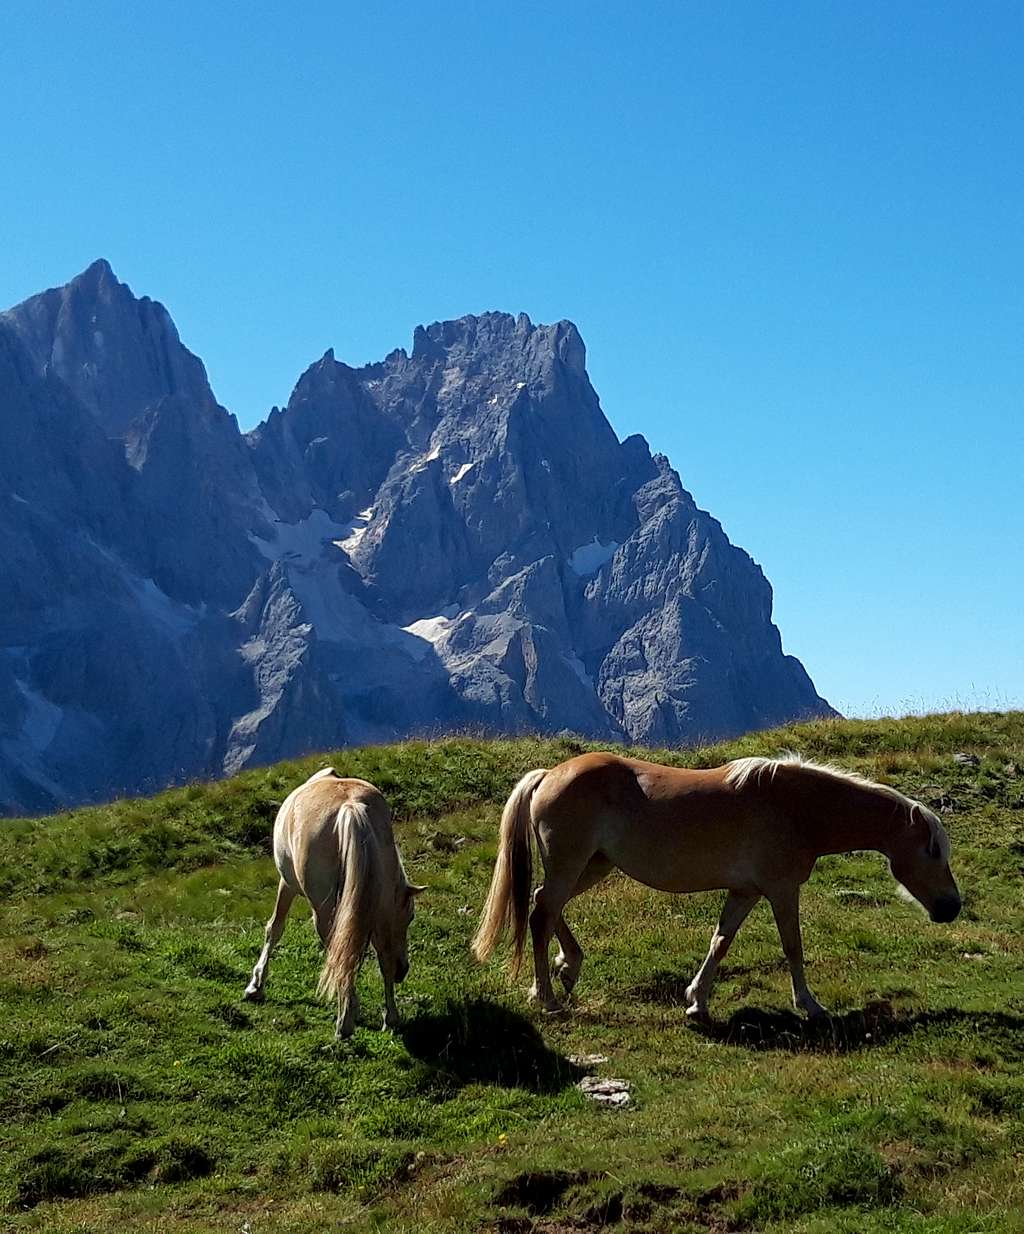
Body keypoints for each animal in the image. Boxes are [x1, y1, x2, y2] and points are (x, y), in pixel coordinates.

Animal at [243, 765, 421, 1036]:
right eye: (409, 917)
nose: (404, 971)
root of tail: (351, 807)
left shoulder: (287, 884)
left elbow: (274, 928)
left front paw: (256, 985)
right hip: (376, 909)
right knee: (381, 955)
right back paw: (389, 1018)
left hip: (324, 909)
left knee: (340, 952)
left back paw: (345, 1020)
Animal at [473, 755, 962, 1016]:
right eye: (932, 851)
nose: (951, 907)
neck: (798, 809)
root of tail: (549, 773)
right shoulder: (781, 890)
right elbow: (793, 947)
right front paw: (809, 1004)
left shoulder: (745, 892)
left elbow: (720, 942)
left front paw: (697, 1001)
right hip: (572, 866)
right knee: (541, 914)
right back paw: (548, 997)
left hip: (593, 866)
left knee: (546, 907)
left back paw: (567, 968)